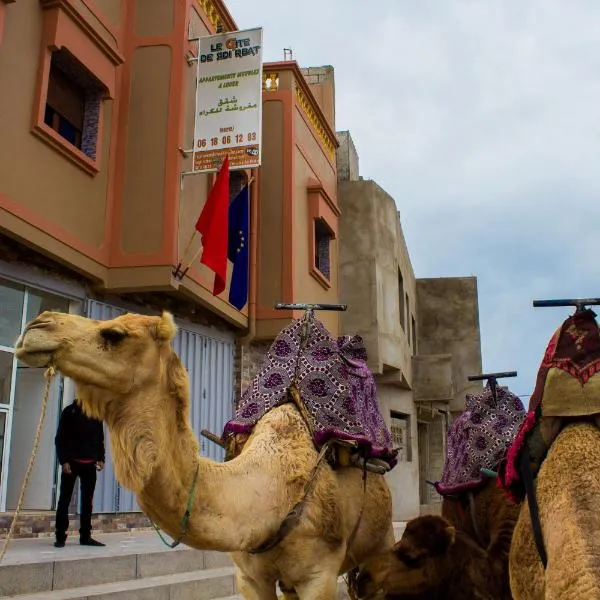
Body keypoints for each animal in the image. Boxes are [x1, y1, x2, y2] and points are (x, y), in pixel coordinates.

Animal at [15, 312, 394, 596]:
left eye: (115, 333)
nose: (36, 327)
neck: (272, 489)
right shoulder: (250, 576)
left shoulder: (319, 576)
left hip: (381, 545)